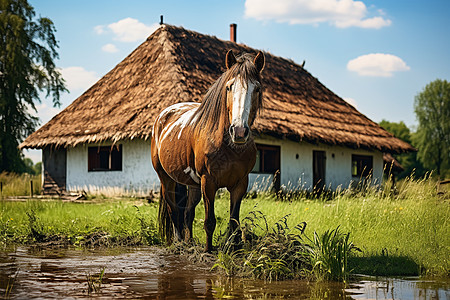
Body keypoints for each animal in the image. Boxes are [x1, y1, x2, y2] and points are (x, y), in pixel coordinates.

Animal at [152, 50, 264, 252]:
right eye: (229, 87)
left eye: (257, 89)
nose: (239, 131)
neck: (229, 146)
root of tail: (163, 115)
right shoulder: (209, 182)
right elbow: (209, 221)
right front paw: (208, 251)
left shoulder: (240, 184)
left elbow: (234, 222)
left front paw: (233, 249)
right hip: (166, 179)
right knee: (174, 210)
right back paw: (179, 243)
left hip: (193, 185)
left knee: (187, 212)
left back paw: (188, 243)